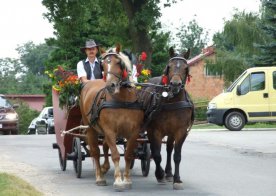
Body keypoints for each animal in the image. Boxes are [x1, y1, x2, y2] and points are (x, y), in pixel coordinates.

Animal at [79, 45, 143, 190]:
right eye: (103, 65)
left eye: (118, 63)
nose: (110, 86)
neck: (123, 100)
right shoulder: (110, 130)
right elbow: (115, 155)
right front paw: (118, 180)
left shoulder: (133, 132)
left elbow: (128, 155)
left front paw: (127, 180)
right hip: (91, 128)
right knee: (96, 152)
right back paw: (99, 177)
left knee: (104, 147)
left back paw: (104, 168)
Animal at [141, 47, 193, 190]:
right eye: (169, 67)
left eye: (186, 68)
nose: (175, 84)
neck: (172, 101)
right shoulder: (154, 131)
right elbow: (157, 154)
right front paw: (159, 175)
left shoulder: (181, 131)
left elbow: (177, 155)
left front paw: (177, 179)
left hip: (171, 132)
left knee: (169, 149)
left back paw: (169, 173)